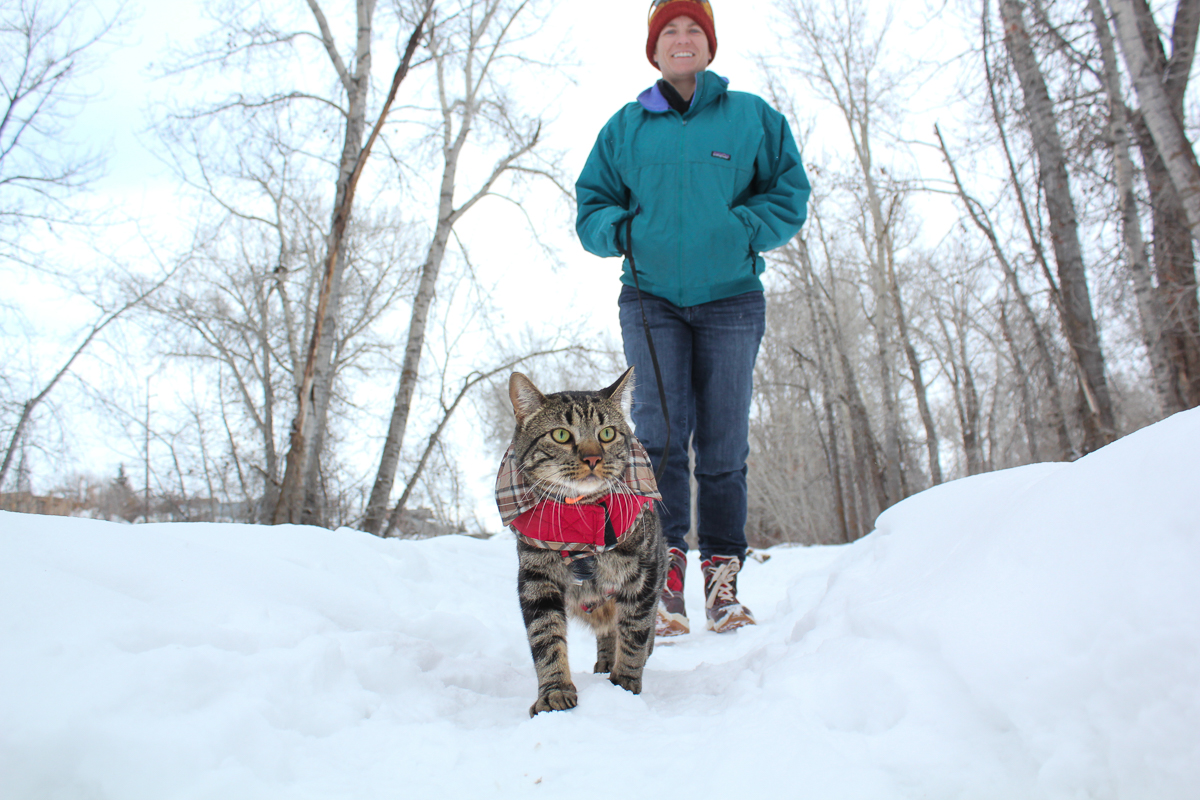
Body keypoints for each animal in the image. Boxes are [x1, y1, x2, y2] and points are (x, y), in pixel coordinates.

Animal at [496, 367, 667, 714]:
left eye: (607, 434)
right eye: (561, 435)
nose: (592, 458)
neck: (582, 515)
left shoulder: (645, 574)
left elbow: (635, 632)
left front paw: (624, 686)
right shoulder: (536, 577)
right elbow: (545, 637)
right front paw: (554, 692)